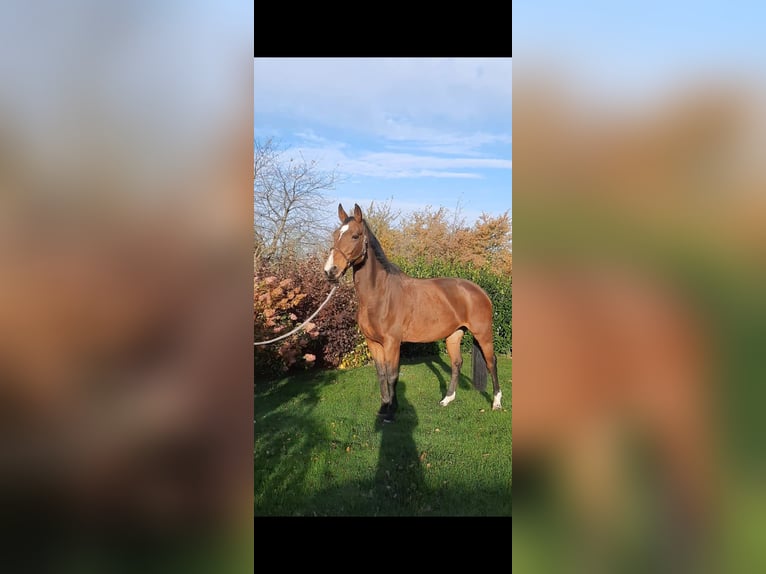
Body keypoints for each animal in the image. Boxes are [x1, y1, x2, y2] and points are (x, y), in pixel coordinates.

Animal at [324, 202, 504, 424]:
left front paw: (391, 412)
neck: (379, 295)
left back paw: (496, 402)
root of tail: (480, 291)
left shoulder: (392, 343)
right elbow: (381, 374)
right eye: (335, 235)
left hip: (483, 333)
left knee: (491, 362)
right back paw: (447, 399)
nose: (330, 271)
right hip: (454, 334)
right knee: (456, 363)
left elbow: (392, 375)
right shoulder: (373, 343)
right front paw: (383, 408)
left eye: (355, 236)